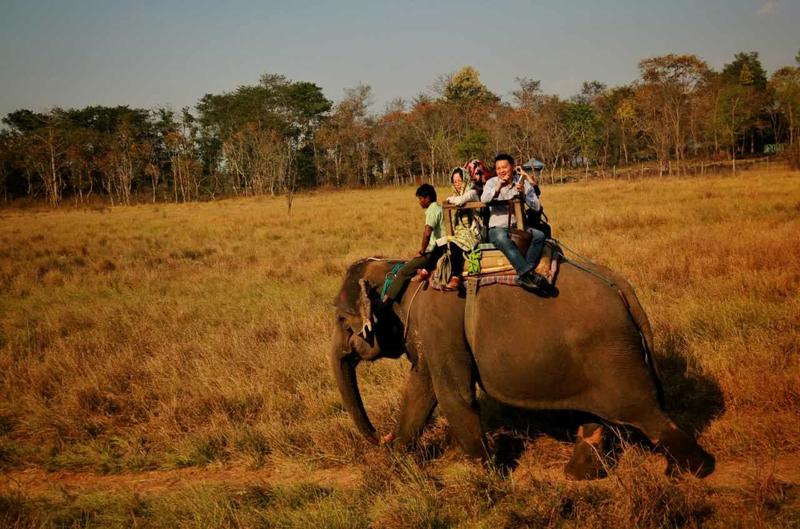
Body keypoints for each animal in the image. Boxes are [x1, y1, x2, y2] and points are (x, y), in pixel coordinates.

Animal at [328, 256, 716, 478]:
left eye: (341, 319)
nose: (380, 438)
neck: (400, 273)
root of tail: (623, 287)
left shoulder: (439, 326)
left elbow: (453, 394)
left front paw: (487, 476)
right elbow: (421, 389)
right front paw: (397, 459)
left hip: (612, 355)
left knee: (645, 414)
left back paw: (688, 471)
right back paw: (579, 473)